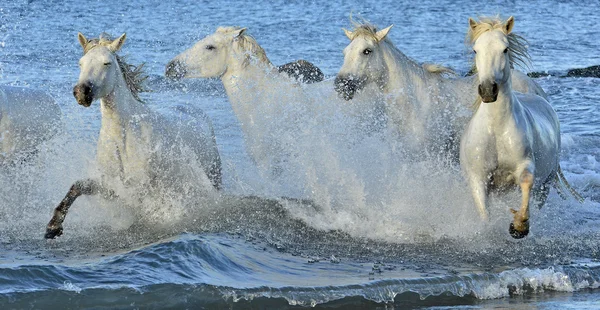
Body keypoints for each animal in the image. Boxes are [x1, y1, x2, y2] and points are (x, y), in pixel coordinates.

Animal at [45, 32, 223, 239]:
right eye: (81, 63)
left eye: (107, 63)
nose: (82, 92)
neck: (122, 138)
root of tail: (195, 111)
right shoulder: (113, 186)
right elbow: (79, 186)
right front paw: (53, 227)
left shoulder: (140, 188)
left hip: (213, 175)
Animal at [460, 16, 580, 240]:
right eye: (475, 50)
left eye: (505, 49)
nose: (488, 90)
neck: (496, 129)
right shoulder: (478, 177)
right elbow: (484, 211)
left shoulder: (525, 167)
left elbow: (526, 185)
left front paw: (518, 227)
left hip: (546, 183)